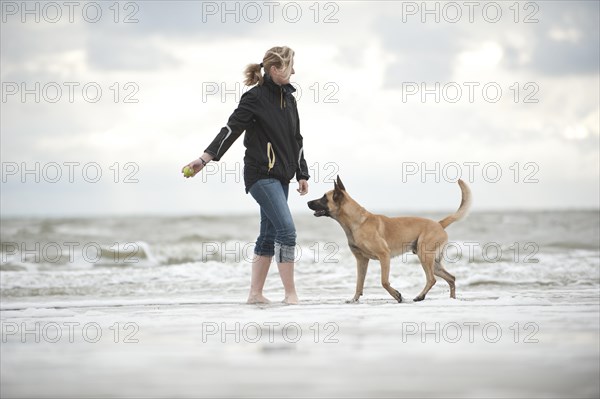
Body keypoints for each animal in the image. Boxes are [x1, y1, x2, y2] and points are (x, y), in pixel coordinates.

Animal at [310, 178, 474, 304]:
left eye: (324, 197)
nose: (307, 202)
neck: (357, 222)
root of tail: (439, 224)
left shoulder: (384, 256)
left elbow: (384, 281)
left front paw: (397, 295)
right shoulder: (361, 261)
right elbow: (359, 283)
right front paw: (354, 299)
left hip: (424, 256)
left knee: (431, 279)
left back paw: (421, 296)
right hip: (433, 262)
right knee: (451, 278)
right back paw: (452, 299)